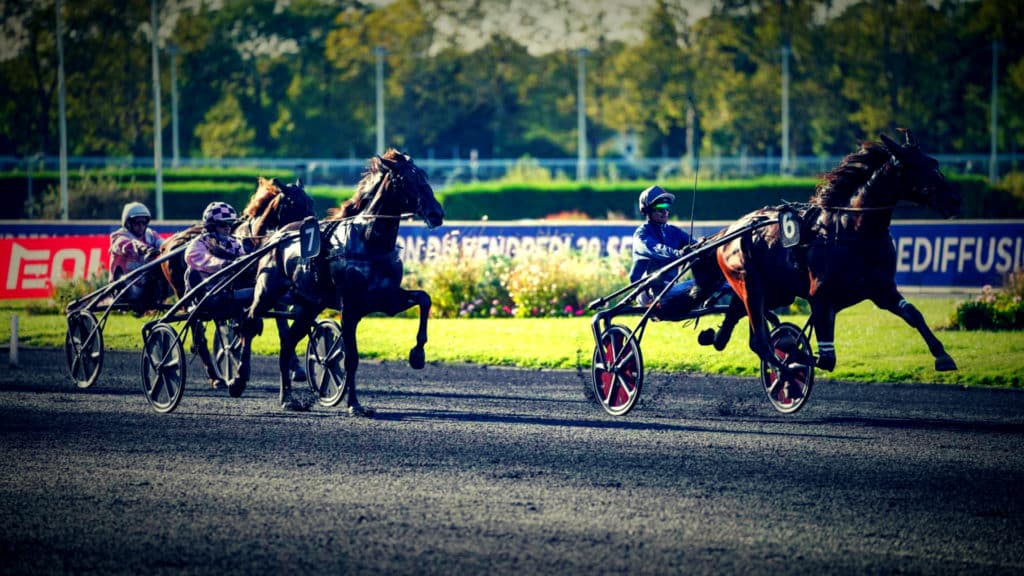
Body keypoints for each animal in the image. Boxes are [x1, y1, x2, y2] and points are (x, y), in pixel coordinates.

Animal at [156, 177, 311, 387]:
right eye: (294, 204)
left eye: (311, 203)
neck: (256, 243)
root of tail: (166, 244)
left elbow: (281, 323)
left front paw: (296, 366)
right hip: (185, 294)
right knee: (198, 332)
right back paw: (214, 376)